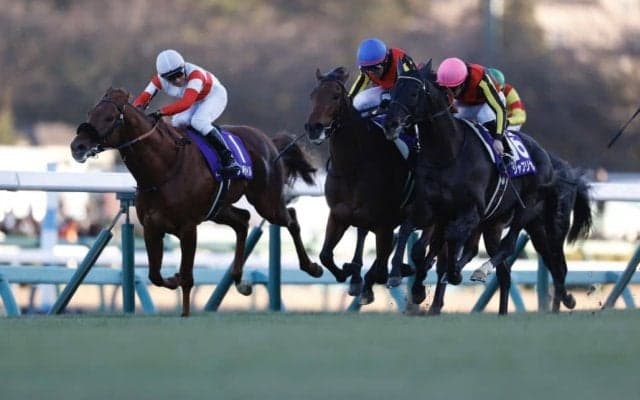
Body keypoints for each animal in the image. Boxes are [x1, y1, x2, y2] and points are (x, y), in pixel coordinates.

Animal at [70, 87, 323, 316]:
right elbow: (155, 275)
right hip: (218, 209)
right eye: (91, 113)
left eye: (109, 117)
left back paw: (312, 267)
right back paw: (239, 280)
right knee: (243, 220)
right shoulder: (152, 227)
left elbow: (188, 276)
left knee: (291, 218)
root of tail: (268, 141)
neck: (163, 170)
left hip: (266, 201)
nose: (77, 146)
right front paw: (173, 278)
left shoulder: (188, 227)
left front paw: (185, 313)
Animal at [304, 67, 414, 305]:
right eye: (312, 95)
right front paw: (347, 272)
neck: (353, 166)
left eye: (336, 96)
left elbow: (381, 267)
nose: (313, 128)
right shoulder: (339, 214)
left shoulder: (384, 224)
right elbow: (325, 255)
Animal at [383, 61, 590, 314]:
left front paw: (449, 274)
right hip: (506, 225)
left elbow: (450, 241)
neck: (449, 153)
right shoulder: (430, 209)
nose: (390, 124)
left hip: (535, 214)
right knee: (512, 271)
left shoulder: (470, 212)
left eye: (414, 93)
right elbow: (408, 231)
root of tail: (548, 159)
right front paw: (402, 277)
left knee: (516, 248)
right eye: (393, 91)